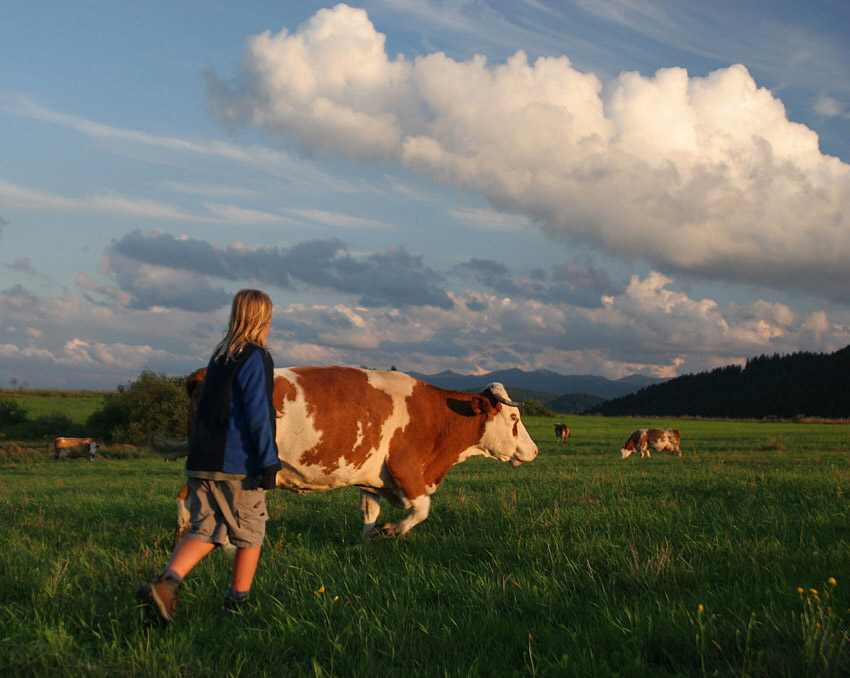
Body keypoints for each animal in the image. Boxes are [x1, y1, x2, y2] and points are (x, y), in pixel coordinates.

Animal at [161, 366, 536, 540]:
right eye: (514, 418)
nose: (533, 451)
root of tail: (202, 373)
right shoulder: (406, 469)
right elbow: (422, 510)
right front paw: (391, 530)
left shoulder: (373, 478)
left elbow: (370, 511)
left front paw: (370, 537)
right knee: (190, 497)